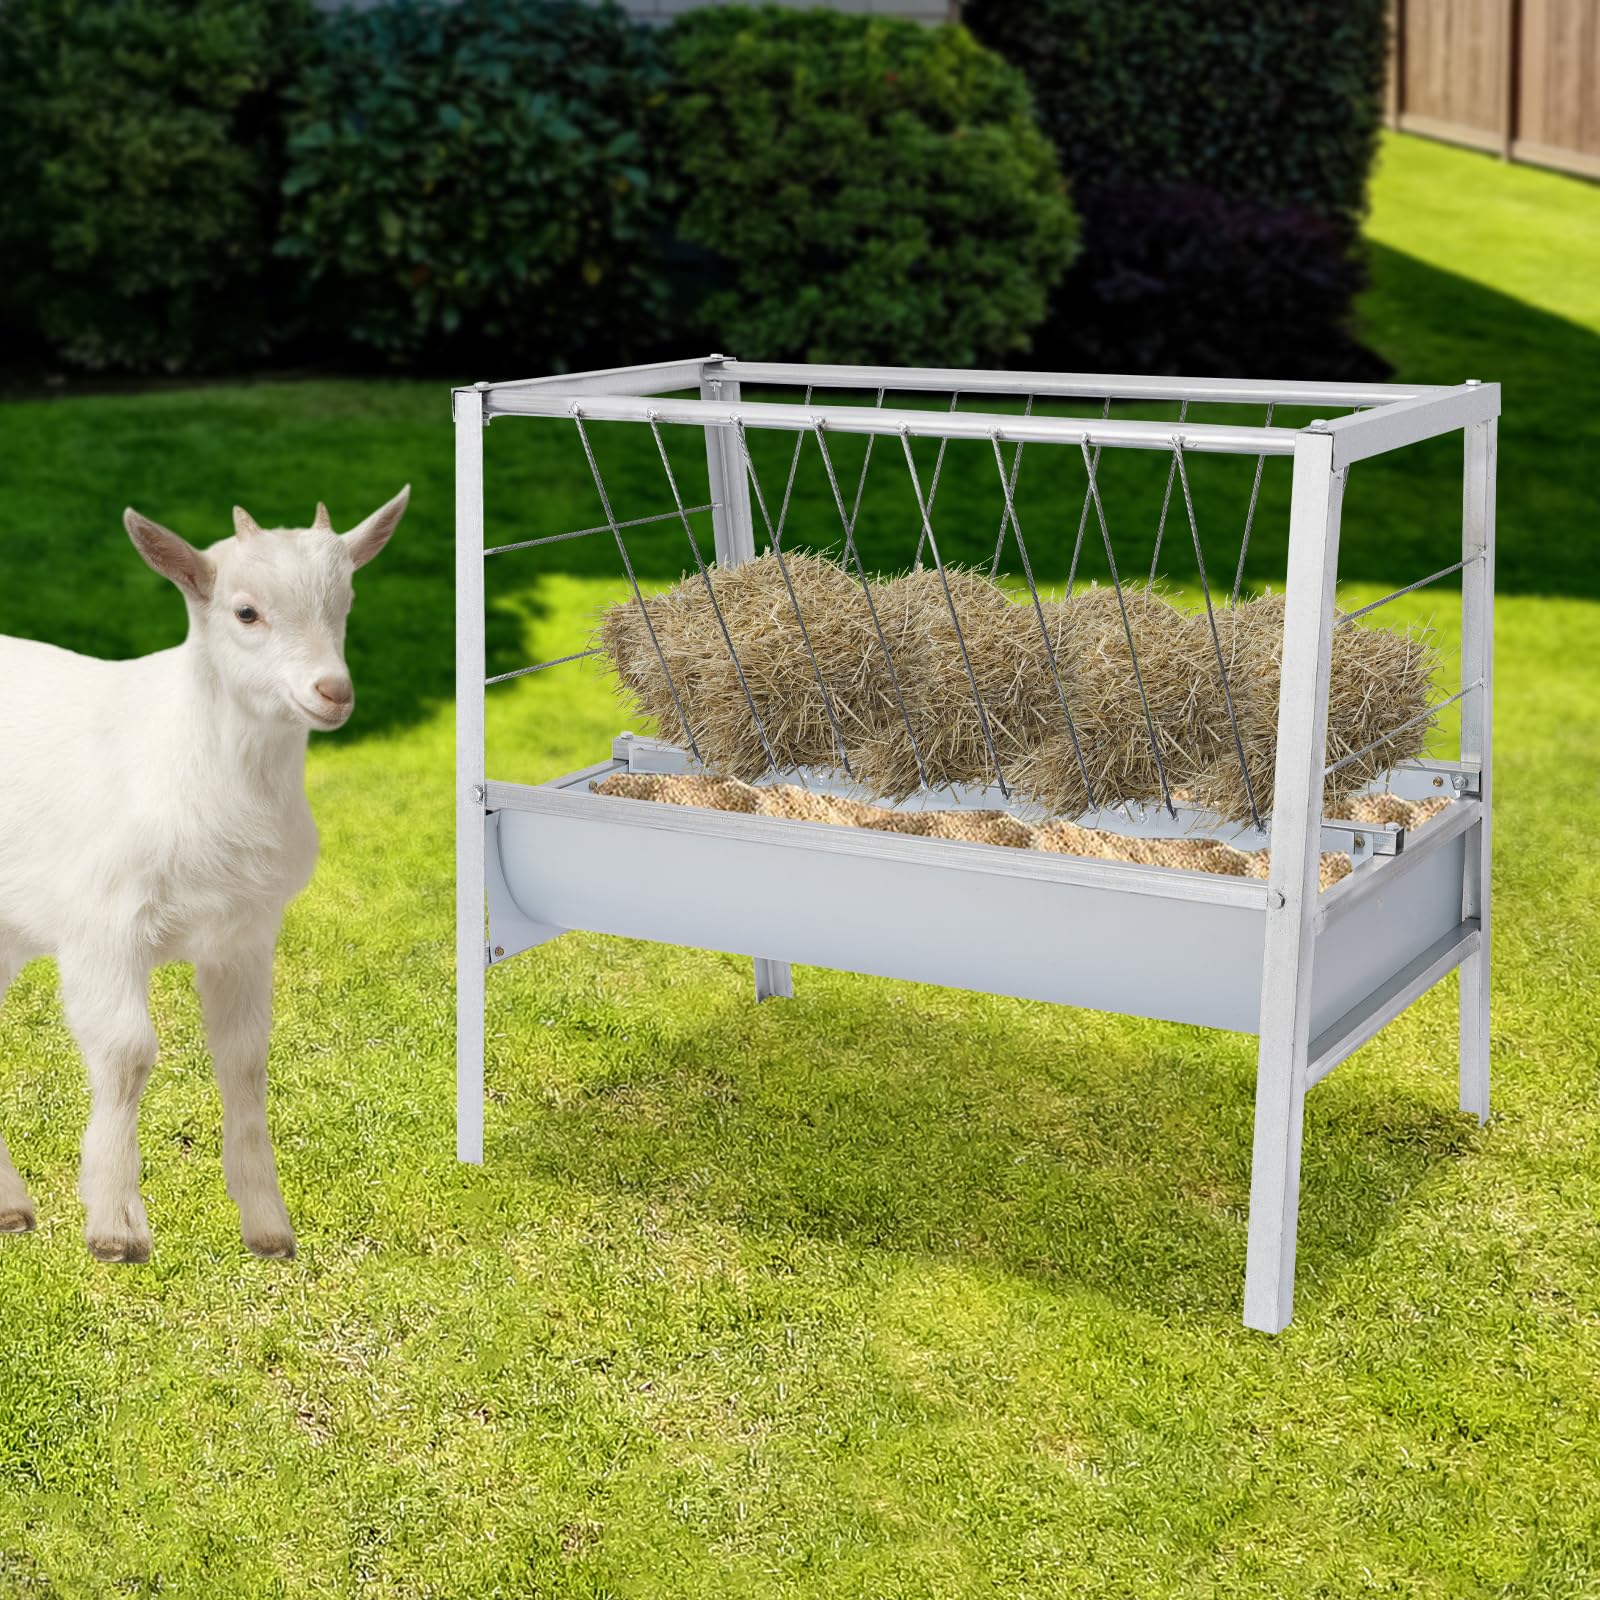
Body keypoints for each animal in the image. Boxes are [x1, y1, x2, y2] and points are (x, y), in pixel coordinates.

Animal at [0, 488, 409, 1261]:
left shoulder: (243, 933)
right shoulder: (103, 925)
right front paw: (116, 1228)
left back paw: (10, 1207)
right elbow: (128, 1053)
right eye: (245, 612)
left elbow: (244, 1059)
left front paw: (268, 1227)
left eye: (346, 600)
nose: (332, 691)